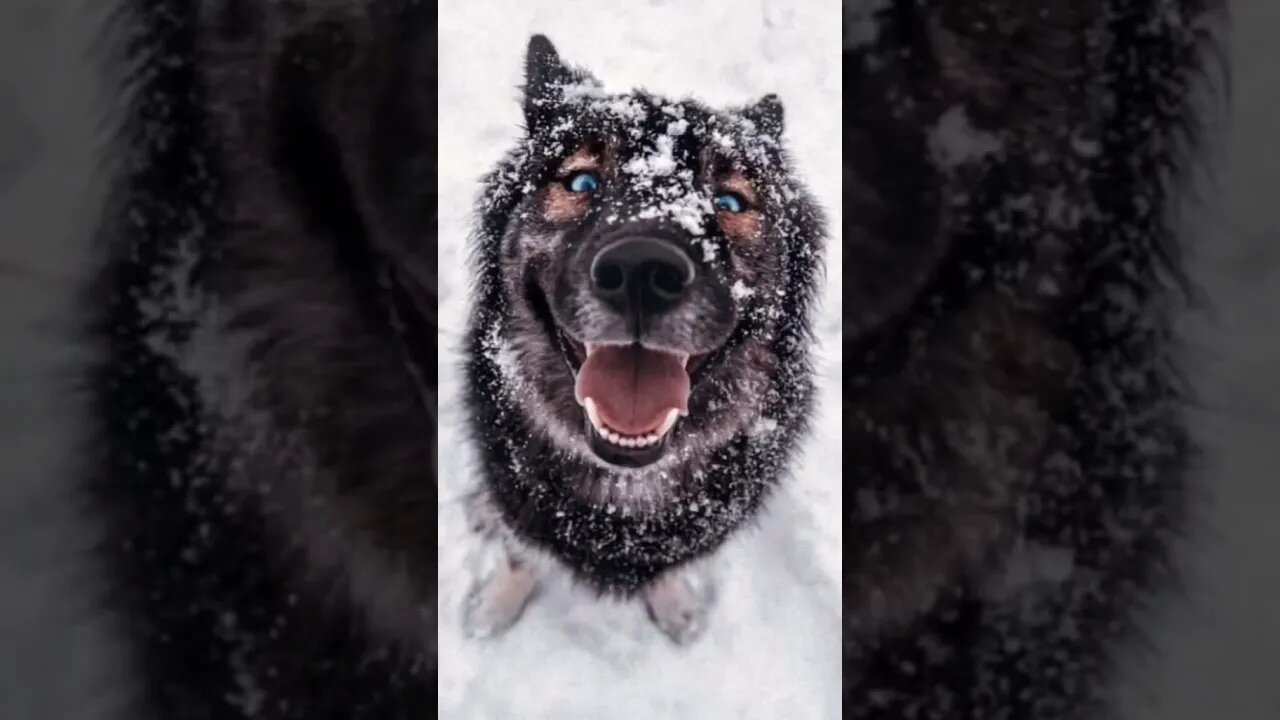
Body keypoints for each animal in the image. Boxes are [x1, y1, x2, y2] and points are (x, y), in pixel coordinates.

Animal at [460, 35, 829, 638]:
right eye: (582, 182)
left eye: (730, 201)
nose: (642, 271)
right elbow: (518, 553)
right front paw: (496, 604)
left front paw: (675, 605)